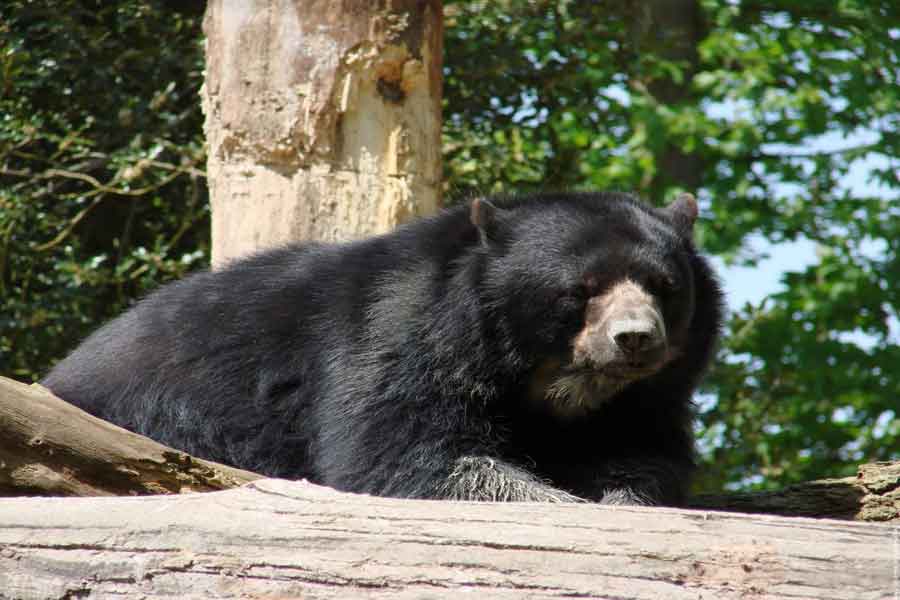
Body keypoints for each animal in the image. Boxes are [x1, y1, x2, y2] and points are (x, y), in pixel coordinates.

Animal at [44, 192, 724, 506]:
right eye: (579, 291)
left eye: (665, 287)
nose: (635, 340)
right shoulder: (397, 339)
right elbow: (406, 456)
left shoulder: (645, 399)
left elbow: (644, 454)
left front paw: (620, 494)